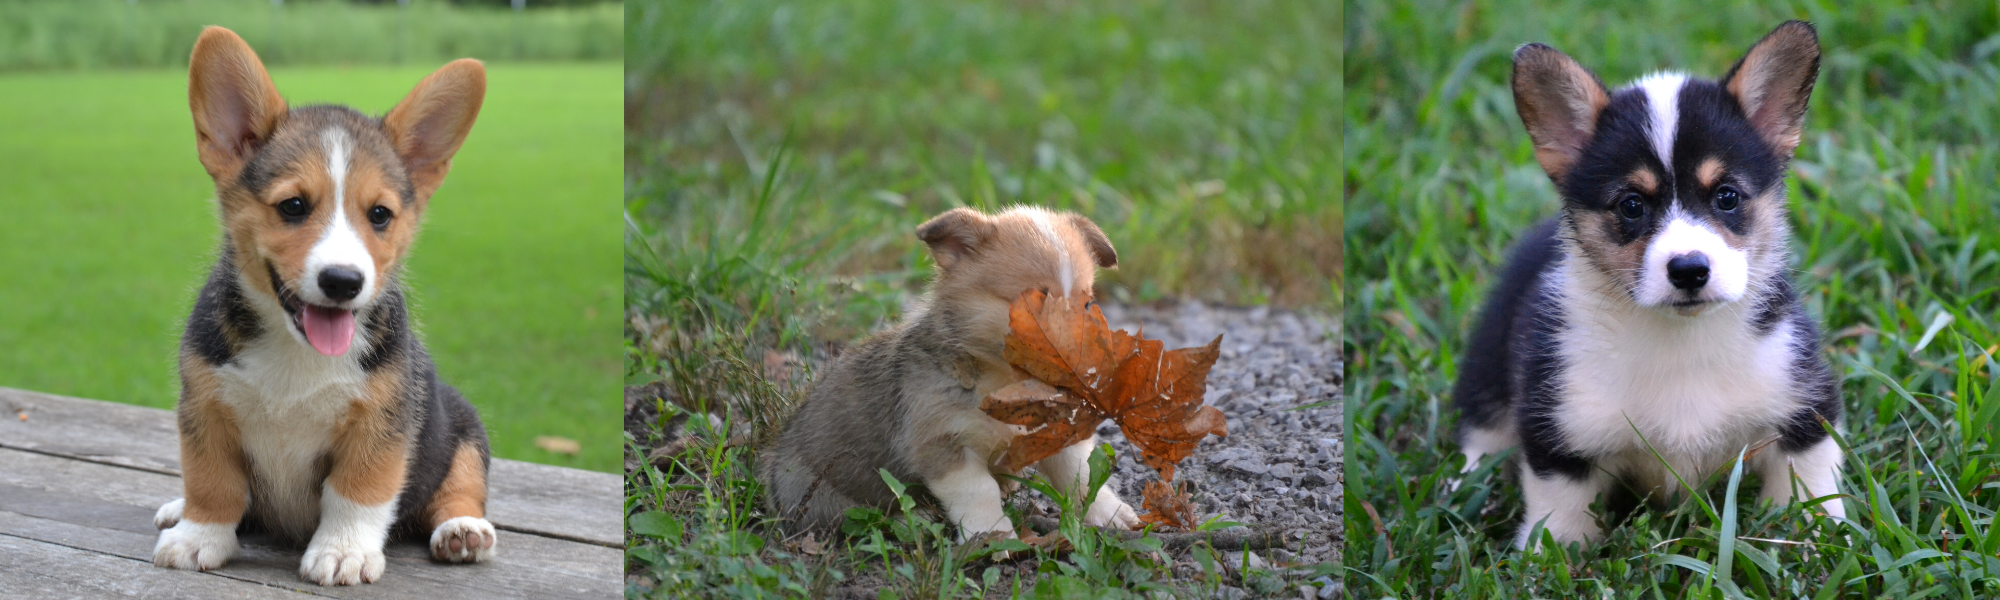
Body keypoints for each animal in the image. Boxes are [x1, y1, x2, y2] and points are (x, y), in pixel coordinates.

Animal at [152, 25, 496, 584]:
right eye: (293, 206)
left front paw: (343, 551)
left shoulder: (381, 424)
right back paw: (178, 509)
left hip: (463, 428)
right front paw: (199, 534)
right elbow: (212, 480)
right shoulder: (205, 408)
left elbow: (357, 491)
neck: (298, 353)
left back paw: (462, 531)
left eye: (380, 215)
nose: (342, 281)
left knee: (461, 488)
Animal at [760, 205, 1144, 540]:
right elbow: (978, 491)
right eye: (1035, 302)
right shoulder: (942, 444)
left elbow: (1080, 476)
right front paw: (992, 534)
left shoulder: (1057, 434)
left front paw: (1110, 513)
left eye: (1087, 304)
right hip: (815, 492)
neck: (1007, 386)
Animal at [1456, 21, 1840, 548]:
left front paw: (1821, 539)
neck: (1680, 340)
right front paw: (1549, 557)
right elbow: (1560, 521)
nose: (1690, 269)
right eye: (1632, 205)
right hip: (1488, 370)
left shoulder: (1805, 407)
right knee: (1482, 433)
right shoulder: (1561, 434)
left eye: (1727, 197)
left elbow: (1811, 488)